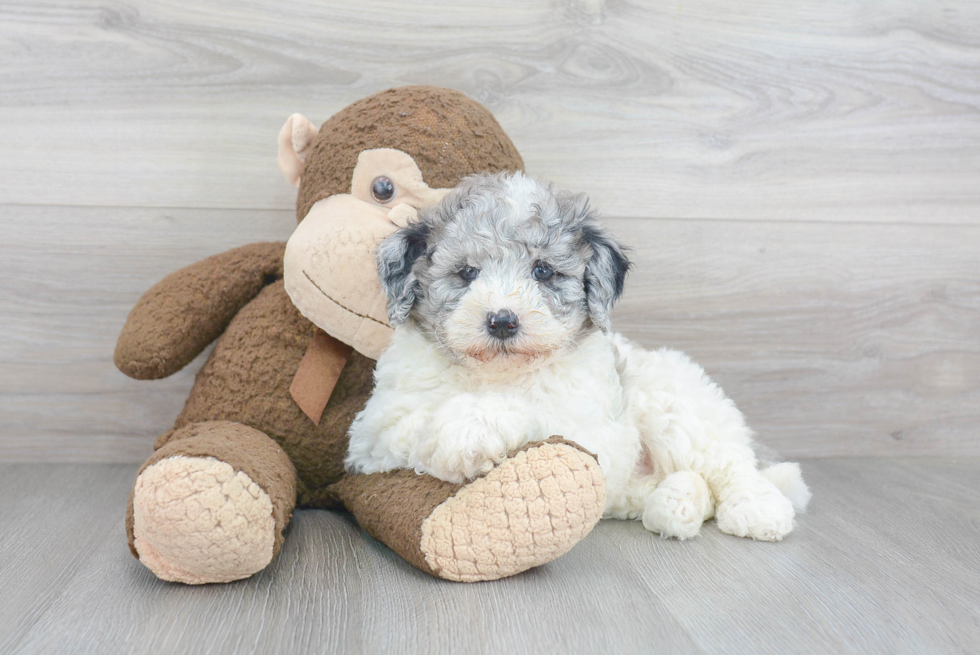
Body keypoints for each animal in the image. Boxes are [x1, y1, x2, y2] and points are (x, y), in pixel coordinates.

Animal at [348, 172, 808, 540]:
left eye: (543, 271)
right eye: (466, 273)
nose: (502, 321)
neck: (498, 375)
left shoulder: (594, 430)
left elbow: (536, 414)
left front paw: (471, 428)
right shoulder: (373, 433)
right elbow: (415, 423)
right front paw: (459, 440)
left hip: (678, 407)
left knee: (732, 467)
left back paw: (760, 512)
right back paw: (676, 507)